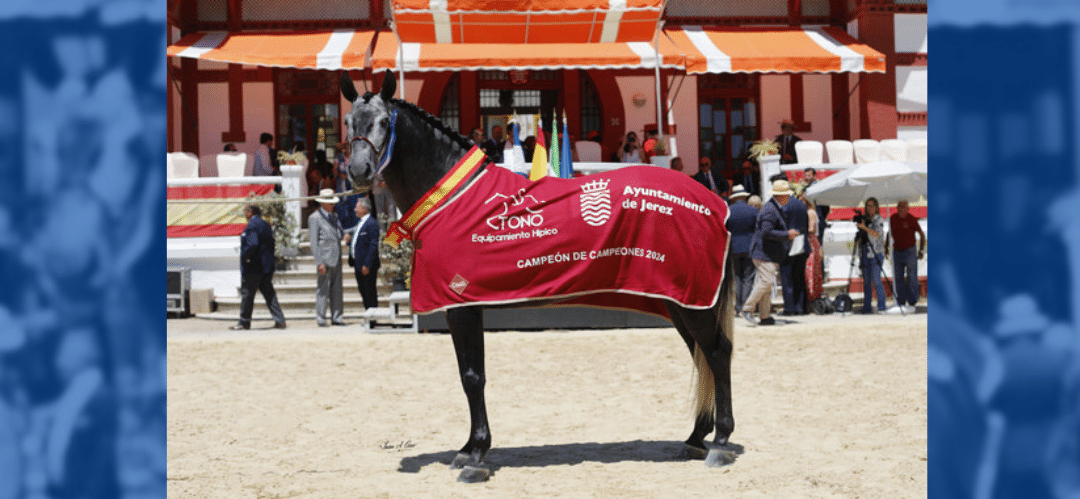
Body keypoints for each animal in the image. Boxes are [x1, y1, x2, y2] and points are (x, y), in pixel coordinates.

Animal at [340, 70, 737, 482]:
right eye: (349, 122)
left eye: (383, 122)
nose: (359, 173)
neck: (454, 200)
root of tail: (715, 202)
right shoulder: (454, 307)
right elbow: (466, 375)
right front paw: (466, 450)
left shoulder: (465, 305)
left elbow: (473, 377)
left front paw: (477, 455)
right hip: (679, 299)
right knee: (701, 356)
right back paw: (695, 438)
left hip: (695, 302)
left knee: (718, 353)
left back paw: (720, 442)